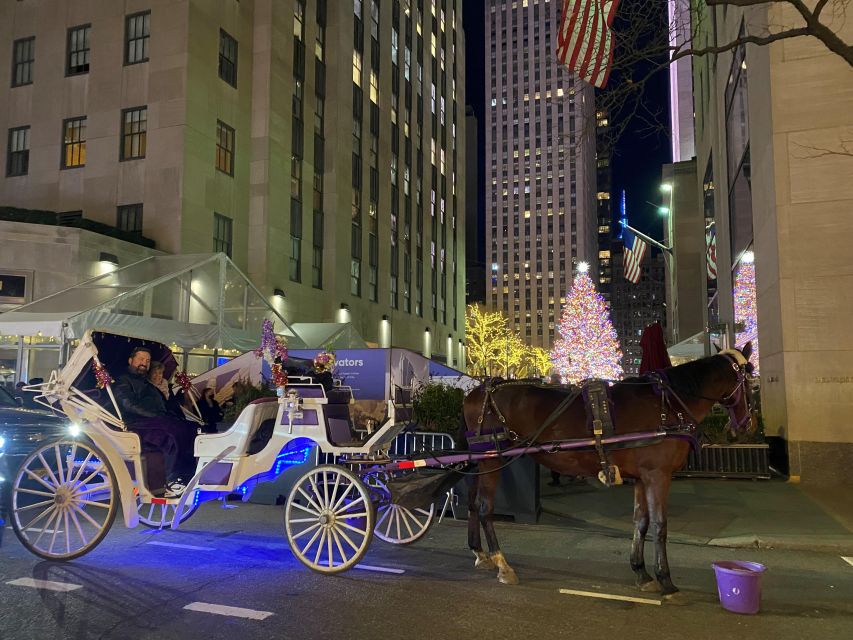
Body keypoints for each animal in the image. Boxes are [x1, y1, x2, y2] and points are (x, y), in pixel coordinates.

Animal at [466, 344, 752, 600]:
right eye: (749, 378)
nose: (746, 424)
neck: (669, 404)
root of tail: (478, 391)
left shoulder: (642, 478)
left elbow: (641, 522)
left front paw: (642, 573)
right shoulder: (658, 475)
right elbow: (660, 525)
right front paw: (666, 580)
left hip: (480, 461)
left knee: (472, 503)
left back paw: (480, 553)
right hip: (492, 459)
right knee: (484, 507)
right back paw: (502, 564)